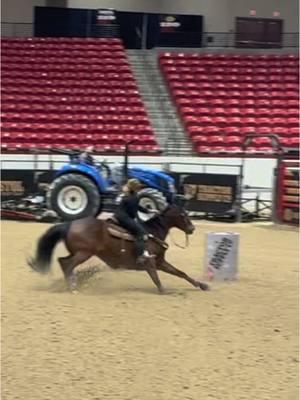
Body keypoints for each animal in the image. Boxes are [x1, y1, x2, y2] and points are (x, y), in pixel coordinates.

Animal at [29, 203, 210, 294]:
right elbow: (156, 279)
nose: (192, 229)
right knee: (67, 264)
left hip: (79, 253)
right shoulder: (150, 263)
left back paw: (70, 284)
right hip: (84, 253)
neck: (152, 232)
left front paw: (202, 285)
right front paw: (165, 291)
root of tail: (70, 224)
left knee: (62, 261)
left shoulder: (160, 262)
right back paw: (72, 287)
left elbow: (181, 273)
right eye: (183, 215)